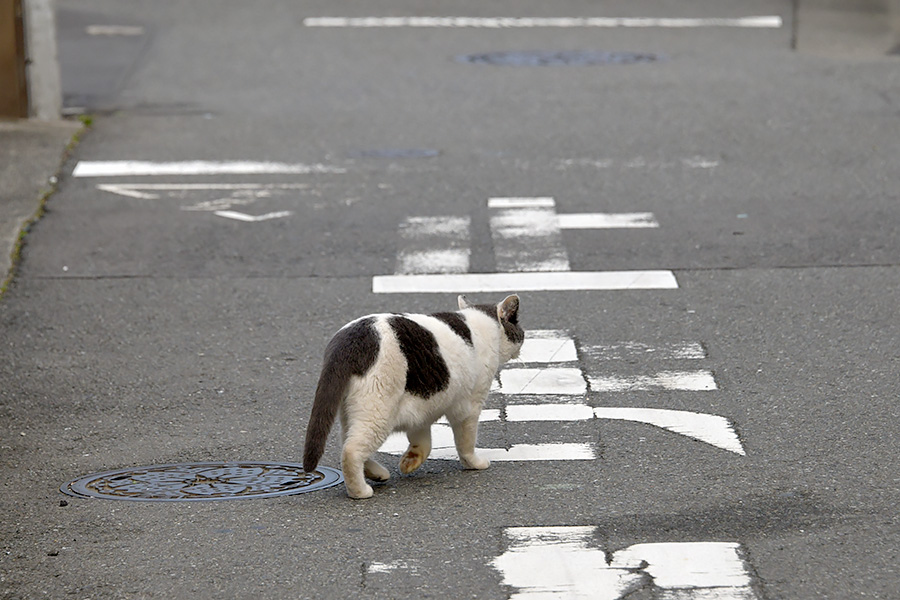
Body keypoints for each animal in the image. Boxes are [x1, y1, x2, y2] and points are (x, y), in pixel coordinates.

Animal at [304, 294, 524, 496]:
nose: (523, 338)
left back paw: (377, 473)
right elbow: (466, 442)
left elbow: (423, 441)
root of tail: (350, 338)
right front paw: (474, 463)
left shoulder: (421, 407)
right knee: (351, 450)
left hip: (352, 411)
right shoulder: (469, 407)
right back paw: (360, 491)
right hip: (378, 412)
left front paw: (410, 462)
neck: (480, 322)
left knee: (346, 441)